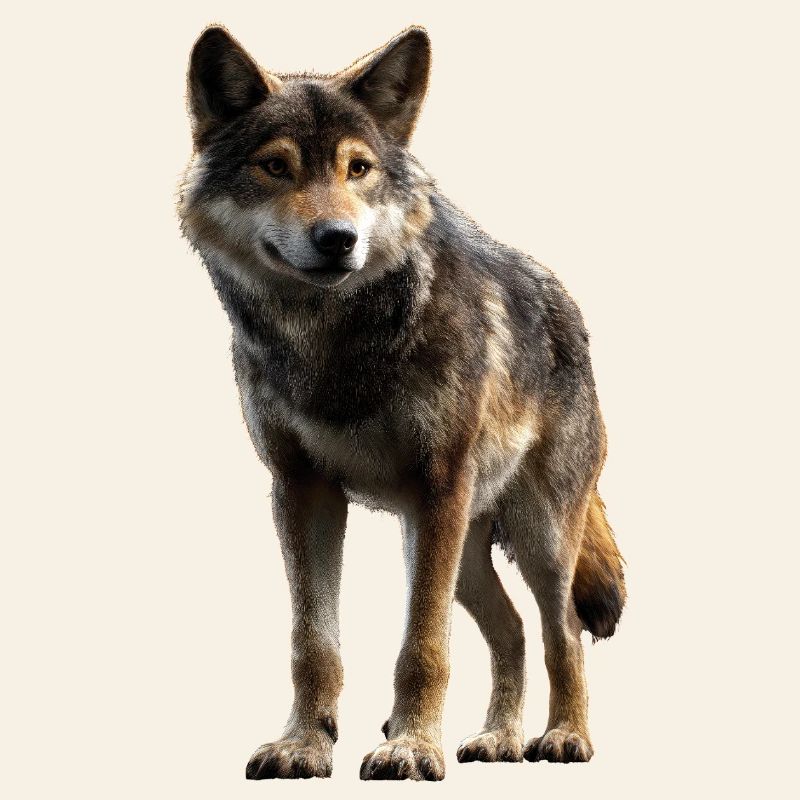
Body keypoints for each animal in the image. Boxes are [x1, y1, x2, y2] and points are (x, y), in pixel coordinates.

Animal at [178, 25, 626, 781]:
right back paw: (498, 739)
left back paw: (564, 737)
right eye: (276, 167)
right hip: (461, 551)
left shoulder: (437, 486)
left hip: (531, 536)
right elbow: (312, 644)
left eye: (358, 168)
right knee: (510, 632)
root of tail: (568, 306)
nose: (338, 239)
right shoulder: (301, 490)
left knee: (560, 630)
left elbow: (423, 645)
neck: (334, 341)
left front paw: (412, 747)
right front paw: (304, 745)